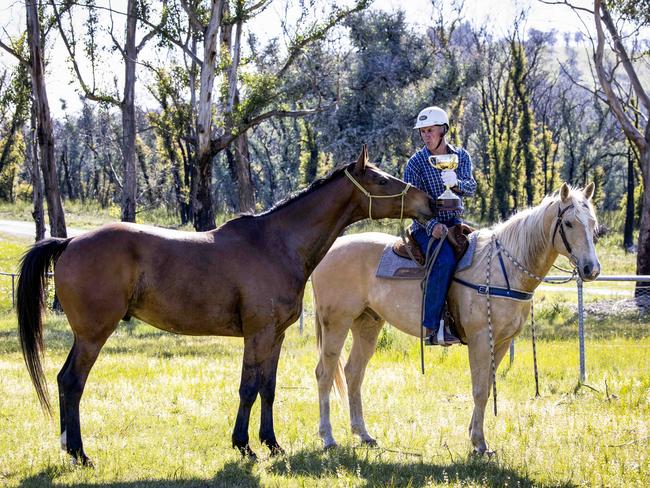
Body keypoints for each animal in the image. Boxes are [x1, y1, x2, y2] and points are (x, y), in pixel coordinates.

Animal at [16, 148, 436, 466]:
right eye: (382, 181)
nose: (429, 202)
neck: (276, 244)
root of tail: (69, 242)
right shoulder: (258, 334)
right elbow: (248, 388)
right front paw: (244, 445)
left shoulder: (275, 336)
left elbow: (268, 388)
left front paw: (272, 443)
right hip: (93, 335)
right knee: (72, 382)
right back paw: (79, 453)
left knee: (63, 380)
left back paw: (68, 448)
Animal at [312, 182, 600, 454]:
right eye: (569, 223)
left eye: (593, 224)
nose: (592, 269)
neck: (504, 268)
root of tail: (328, 251)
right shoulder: (480, 339)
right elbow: (480, 389)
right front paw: (480, 443)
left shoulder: (502, 342)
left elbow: (487, 385)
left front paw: (474, 434)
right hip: (336, 323)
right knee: (325, 373)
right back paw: (328, 438)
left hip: (367, 323)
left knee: (353, 372)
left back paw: (363, 434)